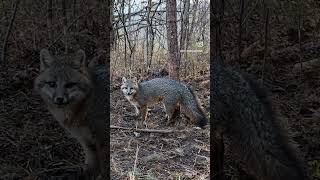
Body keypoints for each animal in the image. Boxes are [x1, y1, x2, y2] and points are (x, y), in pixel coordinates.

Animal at [34, 48, 108, 179]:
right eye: (52, 84)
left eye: (69, 85)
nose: (59, 99)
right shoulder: (87, 142)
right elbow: (92, 167)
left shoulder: (103, 140)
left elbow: (105, 170)